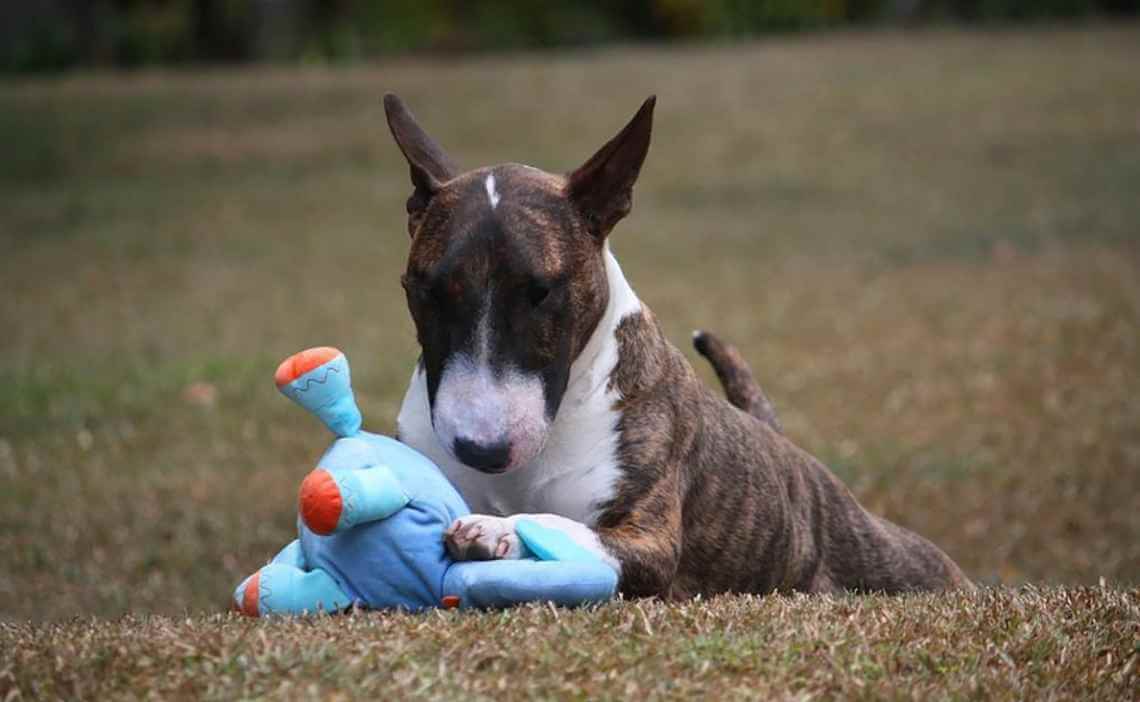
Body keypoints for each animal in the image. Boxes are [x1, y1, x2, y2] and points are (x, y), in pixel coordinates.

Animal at [385, 93, 971, 597]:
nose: (482, 449)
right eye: (426, 290)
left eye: (541, 292)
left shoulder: (650, 539)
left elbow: (564, 528)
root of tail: (794, 455)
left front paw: (495, 531)